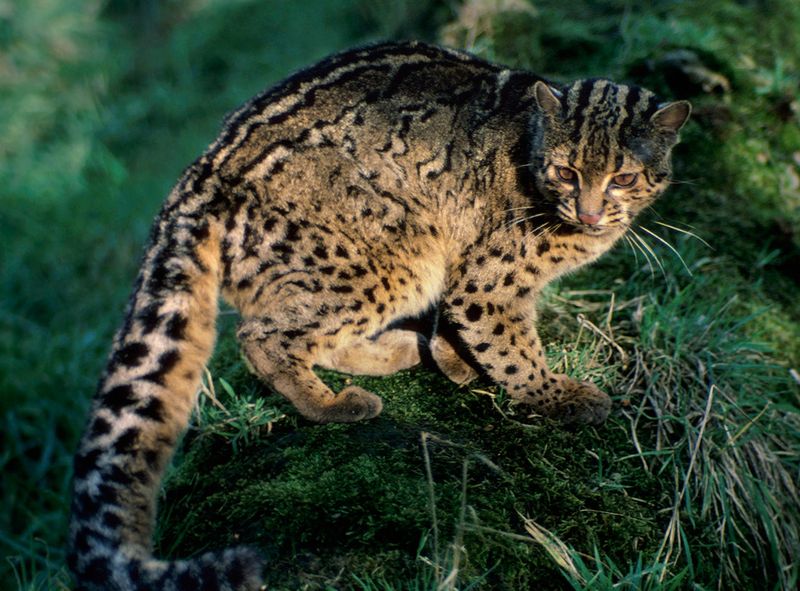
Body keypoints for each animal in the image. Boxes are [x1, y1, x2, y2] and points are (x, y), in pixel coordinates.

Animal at [69, 39, 692, 588]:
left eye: (623, 177)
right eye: (566, 171)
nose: (588, 215)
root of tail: (197, 174)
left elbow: (465, 328)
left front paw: (454, 361)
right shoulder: (489, 280)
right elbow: (509, 344)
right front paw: (558, 396)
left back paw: (395, 351)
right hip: (390, 257)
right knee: (262, 333)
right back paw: (334, 404)